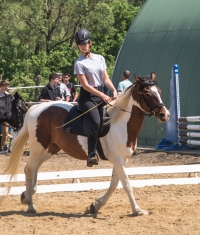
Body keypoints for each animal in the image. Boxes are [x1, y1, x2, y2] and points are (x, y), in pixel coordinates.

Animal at [5, 75, 169, 217]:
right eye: (147, 92)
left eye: (159, 91)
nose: (164, 115)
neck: (120, 122)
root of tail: (36, 108)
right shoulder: (117, 159)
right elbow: (126, 184)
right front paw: (137, 210)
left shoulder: (122, 159)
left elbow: (114, 184)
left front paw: (95, 206)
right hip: (38, 146)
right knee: (29, 169)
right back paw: (30, 205)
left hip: (51, 148)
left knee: (35, 168)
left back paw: (26, 196)